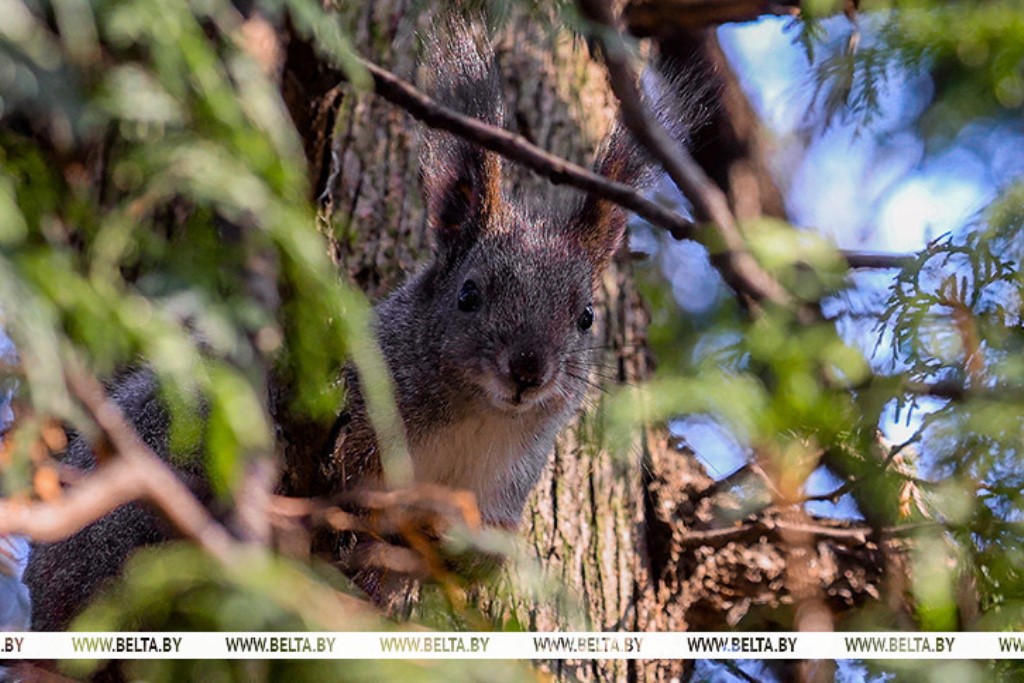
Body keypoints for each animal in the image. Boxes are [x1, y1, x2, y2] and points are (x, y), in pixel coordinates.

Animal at [22, 15, 679, 630]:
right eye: (469, 295)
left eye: (586, 316)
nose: (526, 370)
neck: (477, 420)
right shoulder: (357, 412)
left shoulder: (500, 491)